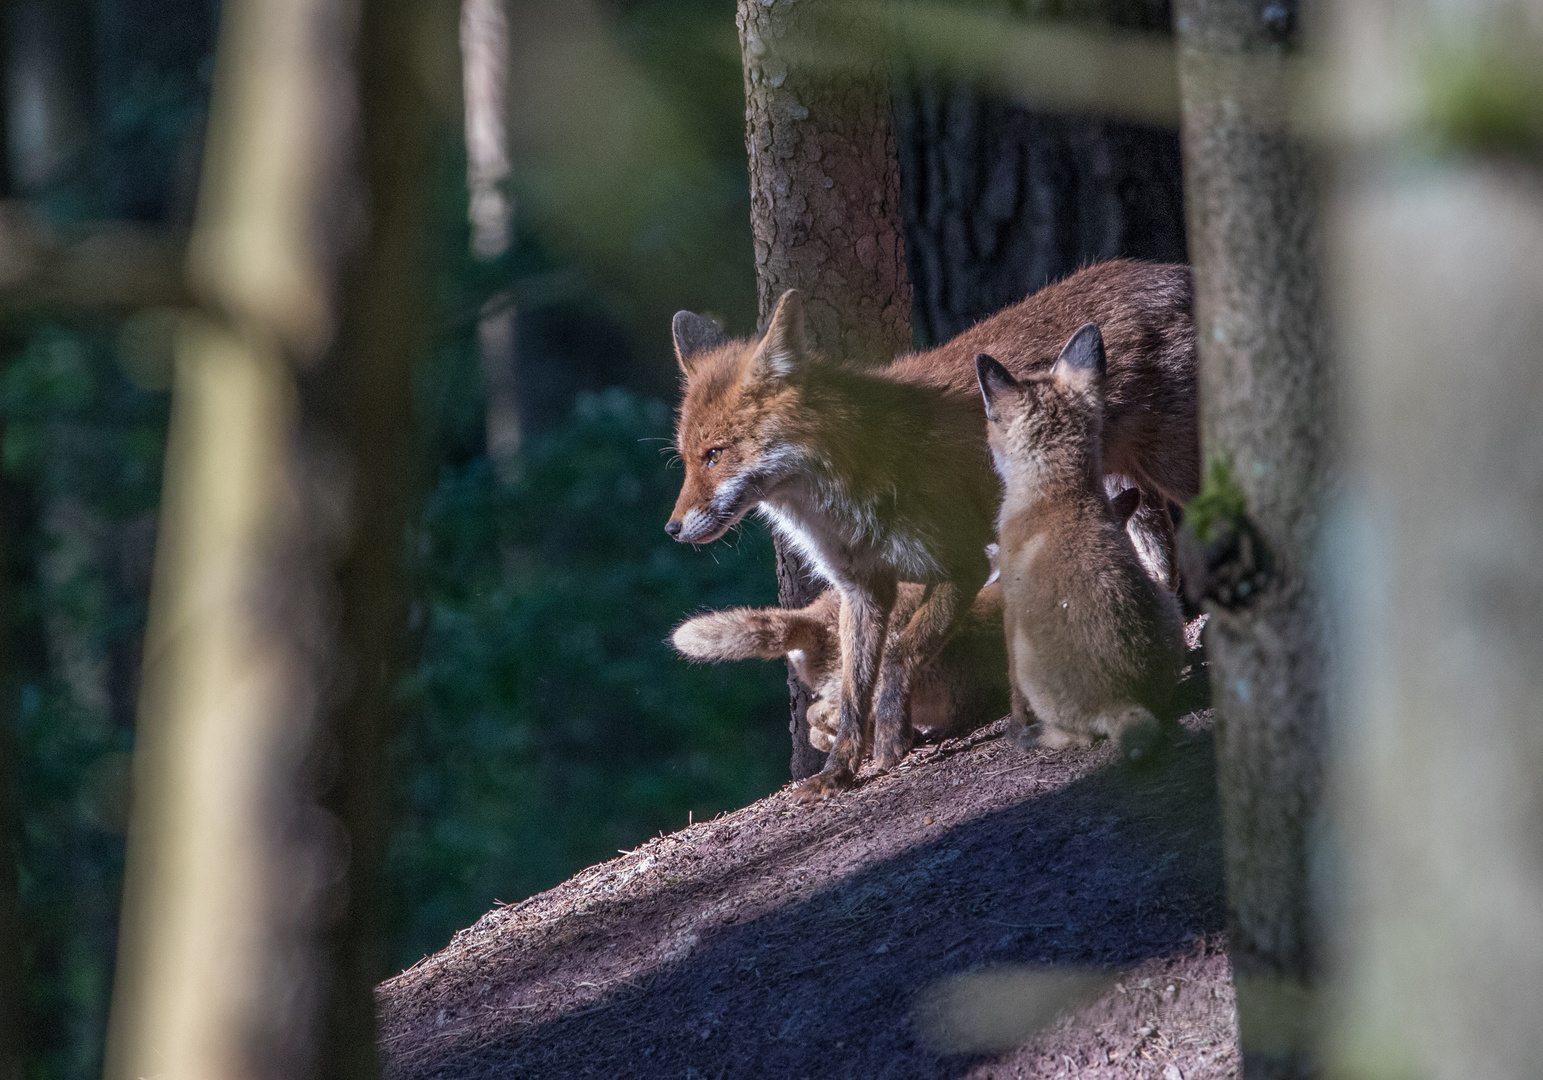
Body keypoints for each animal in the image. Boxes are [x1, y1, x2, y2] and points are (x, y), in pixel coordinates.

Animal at [663, 262, 1191, 802]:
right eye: (685, 459)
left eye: (715, 455)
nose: (672, 529)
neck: (837, 504)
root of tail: (1169, 270)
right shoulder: (861, 589)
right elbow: (853, 694)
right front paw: (839, 771)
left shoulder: (964, 562)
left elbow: (901, 652)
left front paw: (892, 734)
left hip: (1180, 471)